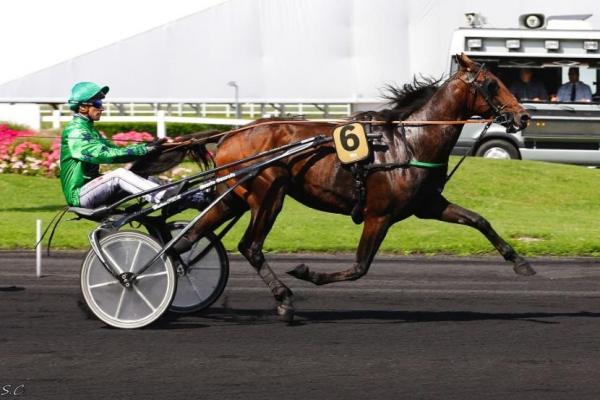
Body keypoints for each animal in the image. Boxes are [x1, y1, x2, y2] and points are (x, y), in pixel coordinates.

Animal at [165, 54, 536, 322]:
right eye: (492, 84)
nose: (523, 116)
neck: (409, 143)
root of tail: (229, 134)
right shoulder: (379, 215)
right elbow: (360, 267)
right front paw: (307, 272)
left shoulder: (427, 204)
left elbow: (479, 220)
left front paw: (521, 263)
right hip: (268, 194)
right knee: (250, 246)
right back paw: (283, 299)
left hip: (234, 198)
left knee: (189, 237)